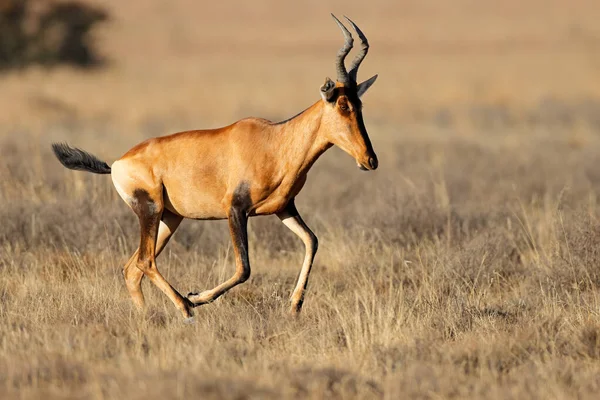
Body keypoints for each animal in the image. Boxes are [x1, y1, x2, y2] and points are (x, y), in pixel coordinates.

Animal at [52, 14, 380, 324]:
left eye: (360, 104)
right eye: (342, 105)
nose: (370, 160)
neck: (274, 139)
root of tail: (118, 163)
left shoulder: (283, 208)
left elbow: (312, 241)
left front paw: (295, 305)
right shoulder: (235, 209)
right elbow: (244, 268)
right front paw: (197, 296)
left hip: (169, 218)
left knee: (133, 268)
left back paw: (151, 315)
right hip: (149, 209)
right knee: (145, 262)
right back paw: (185, 308)